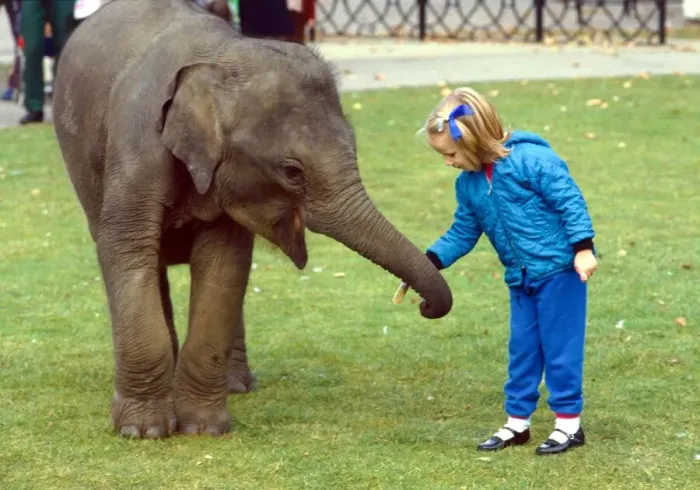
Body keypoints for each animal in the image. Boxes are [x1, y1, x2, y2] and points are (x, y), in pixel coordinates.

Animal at [52, 0, 453, 439]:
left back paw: (236, 385)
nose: (422, 304)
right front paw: (144, 431)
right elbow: (126, 249)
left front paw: (204, 429)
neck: (221, 57)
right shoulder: (137, 146)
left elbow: (224, 264)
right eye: (292, 171)